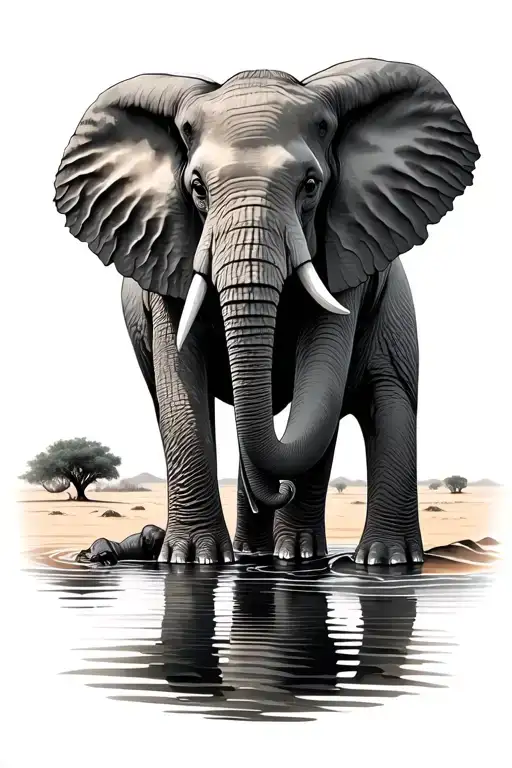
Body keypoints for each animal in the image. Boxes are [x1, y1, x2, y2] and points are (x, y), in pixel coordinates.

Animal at [54, 58, 479, 566]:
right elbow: (180, 384)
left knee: (387, 397)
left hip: (395, 307)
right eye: (197, 188)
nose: (280, 489)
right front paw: (192, 560)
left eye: (311, 186)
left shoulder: (348, 254)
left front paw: (293, 557)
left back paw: (367, 560)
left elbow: (320, 381)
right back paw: (255, 555)